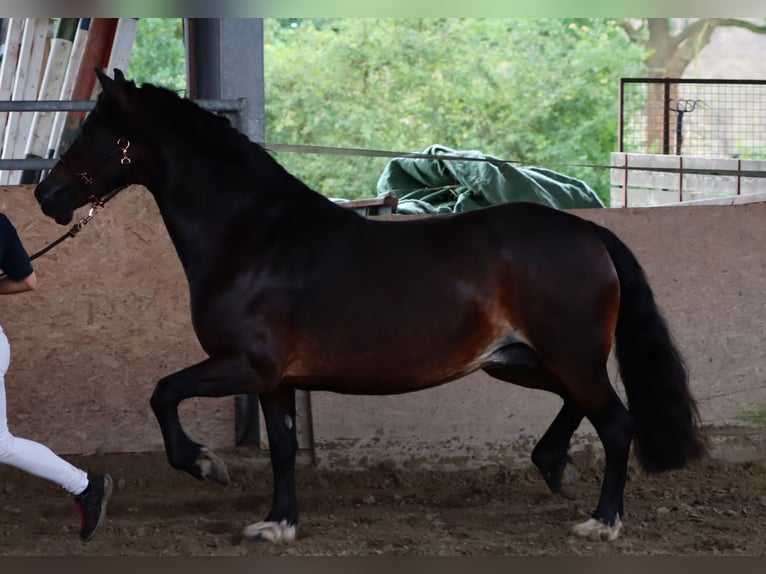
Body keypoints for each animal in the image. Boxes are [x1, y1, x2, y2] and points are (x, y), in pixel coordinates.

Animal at [34, 70, 708, 548]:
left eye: (91, 133)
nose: (47, 196)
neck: (253, 236)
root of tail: (588, 233)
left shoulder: (244, 365)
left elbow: (163, 393)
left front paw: (204, 465)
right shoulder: (274, 381)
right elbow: (282, 448)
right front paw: (278, 524)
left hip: (567, 356)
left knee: (616, 424)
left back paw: (602, 521)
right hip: (518, 360)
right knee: (582, 408)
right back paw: (550, 465)